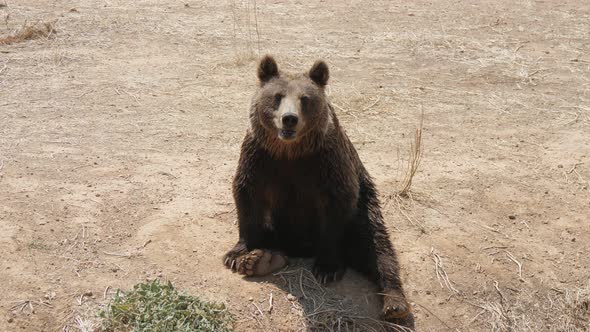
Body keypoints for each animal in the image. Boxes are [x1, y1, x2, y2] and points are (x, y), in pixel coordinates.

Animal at [223, 55, 416, 328]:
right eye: (277, 96)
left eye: (305, 98)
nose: (289, 119)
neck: (290, 151)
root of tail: (300, 248)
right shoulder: (260, 156)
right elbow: (247, 194)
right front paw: (238, 254)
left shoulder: (326, 161)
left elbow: (337, 205)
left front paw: (327, 268)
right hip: (278, 225)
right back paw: (261, 260)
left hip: (364, 210)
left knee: (376, 246)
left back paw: (394, 303)